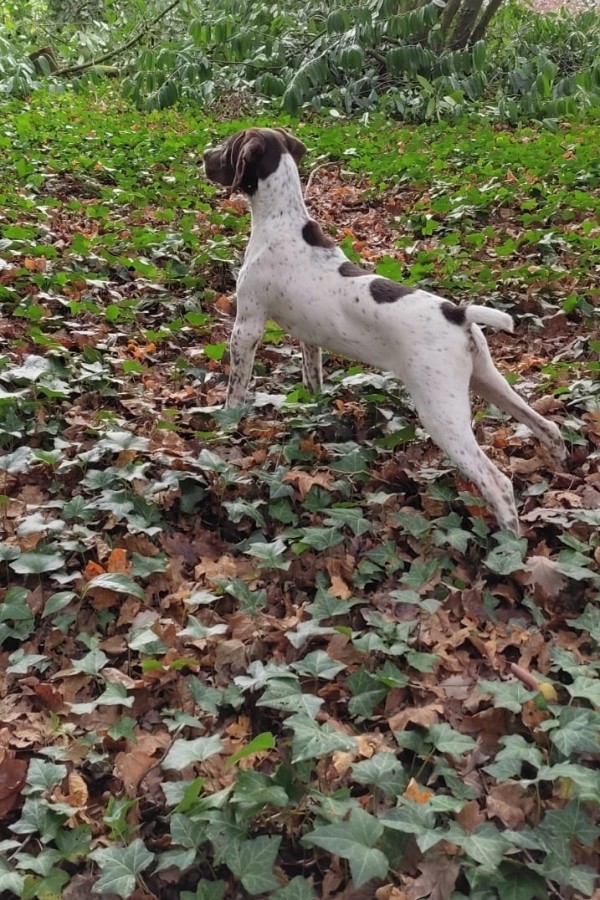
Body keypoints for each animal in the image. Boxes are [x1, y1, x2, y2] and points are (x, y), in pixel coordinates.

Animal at [204, 126, 564, 536]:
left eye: (227, 147)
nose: (203, 157)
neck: (282, 222)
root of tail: (457, 312)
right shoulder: (309, 339)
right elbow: (314, 381)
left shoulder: (246, 326)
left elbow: (235, 391)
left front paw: (226, 425)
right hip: (487, 381)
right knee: (548, 427)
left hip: (441, 412)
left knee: (498, 482)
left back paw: (508, 543)